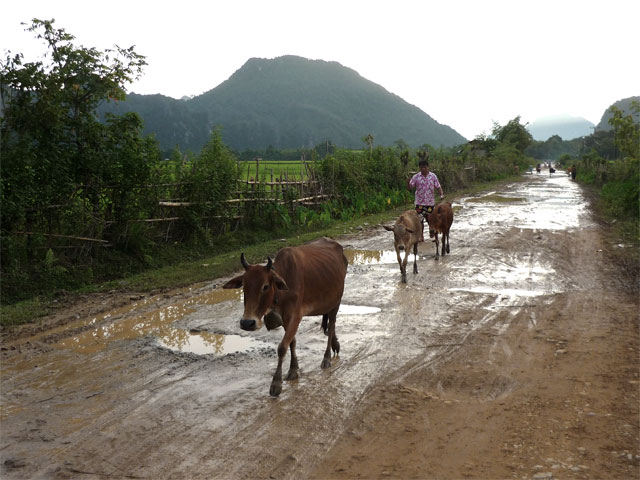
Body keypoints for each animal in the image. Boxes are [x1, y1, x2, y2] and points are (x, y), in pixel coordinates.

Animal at [222, 237, 348, 398]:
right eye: (244, 286)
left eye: (265, 286)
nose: (247, 323)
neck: (280, 293)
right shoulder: (285, 319)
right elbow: (291, 342)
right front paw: (294, 369)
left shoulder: (295, 316)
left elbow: (282, 347)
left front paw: (276, 383)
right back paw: (335, 345)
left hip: (336, 302)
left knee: (331, 327)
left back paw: (326, 358)